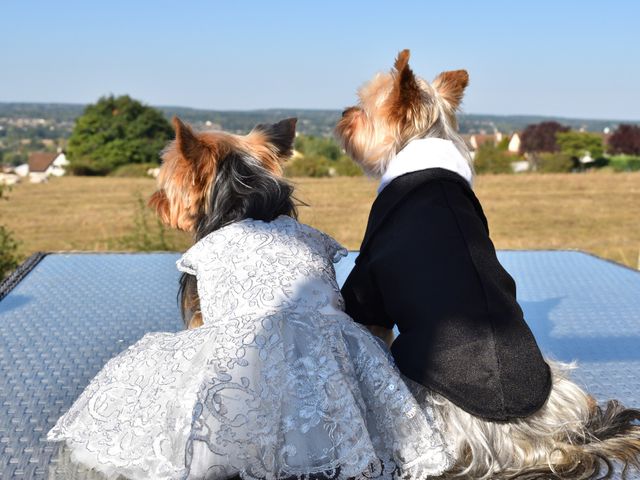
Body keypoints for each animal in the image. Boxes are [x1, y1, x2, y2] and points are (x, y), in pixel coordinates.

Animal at [336, 50, 640, 478]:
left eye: (363, 108)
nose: (345, 113)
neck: (423, 147)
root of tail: (527, 444)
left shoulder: (369, 278)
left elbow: (371, 320)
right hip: (558, 384)